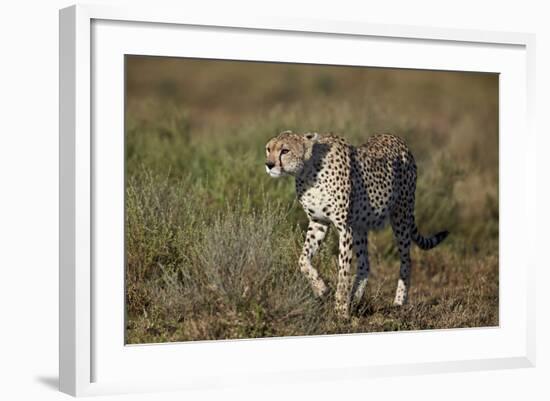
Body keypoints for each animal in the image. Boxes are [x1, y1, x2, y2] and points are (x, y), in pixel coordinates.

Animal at [266, 130, 450, 318]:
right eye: (268, 149)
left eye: (285, 150)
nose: (269, 164)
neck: (308, 171)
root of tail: (396, 138)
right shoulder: (319, 222)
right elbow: (303, 260)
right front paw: (321, 289)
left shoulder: (344, 228)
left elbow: (343, 273)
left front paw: (341, 310)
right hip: (360, 225)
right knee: (365, 264)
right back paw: (355, 298)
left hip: (401, 216)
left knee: (406, 261)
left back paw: (398, 302)